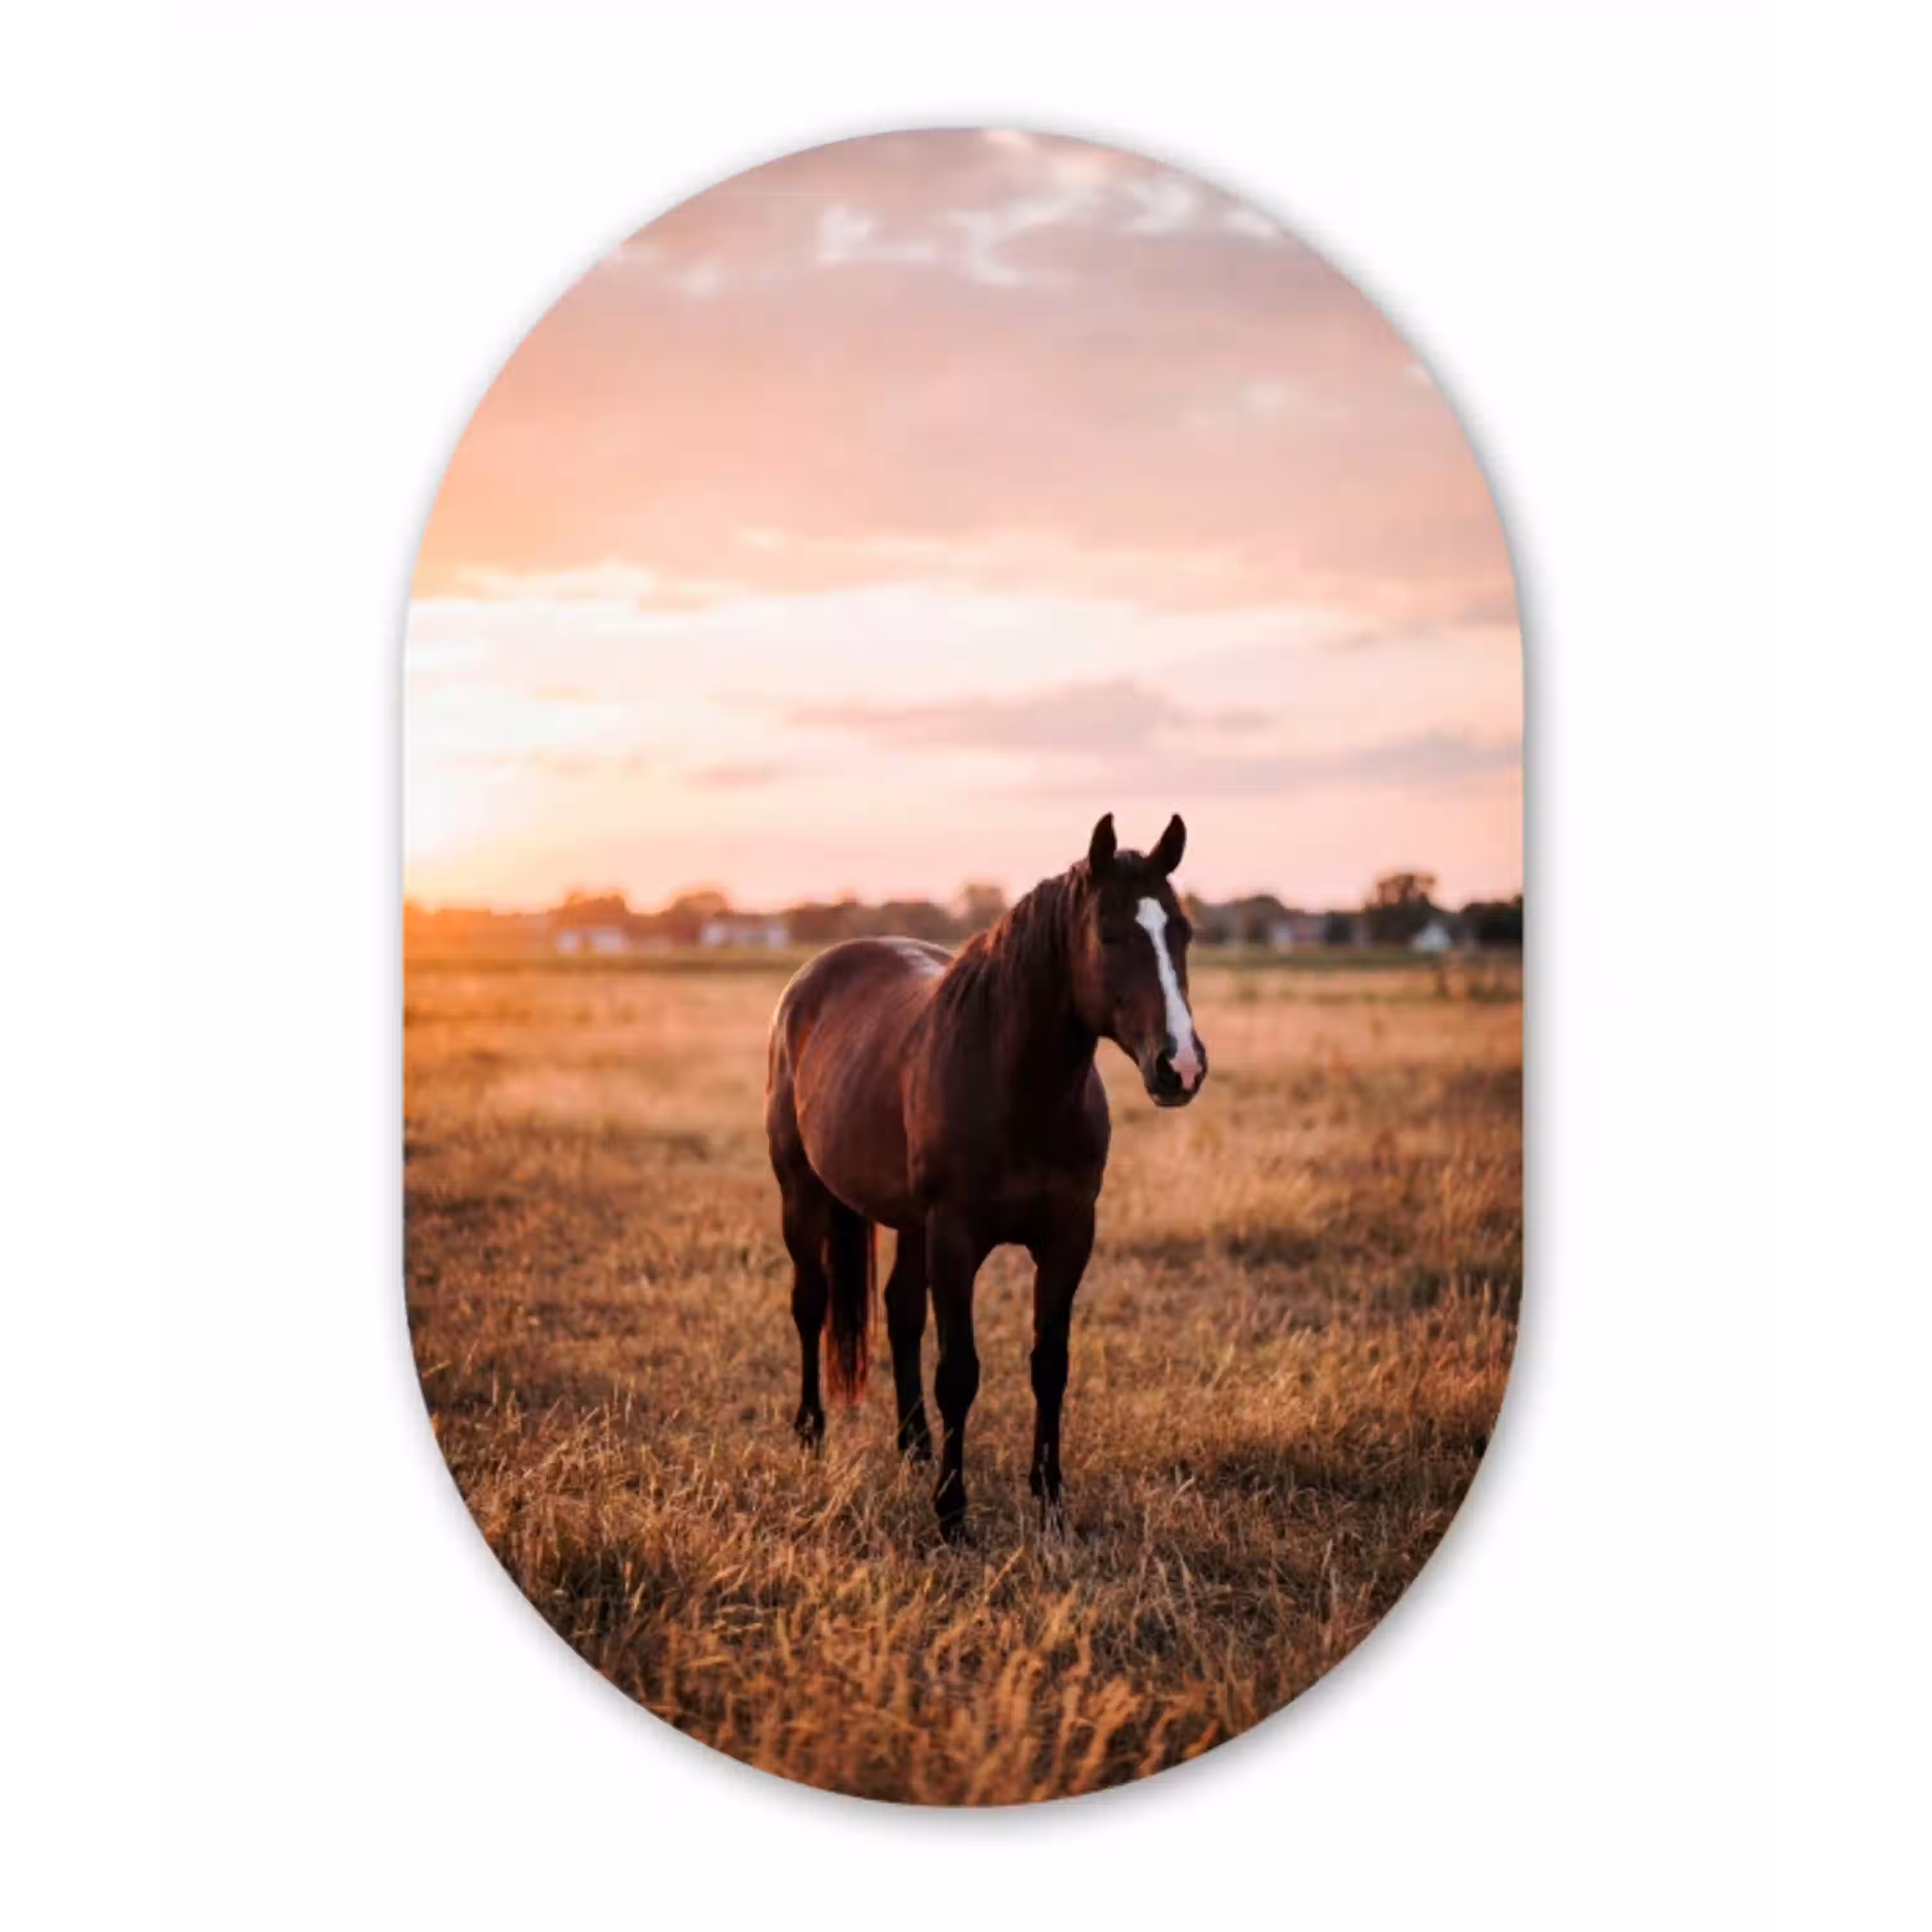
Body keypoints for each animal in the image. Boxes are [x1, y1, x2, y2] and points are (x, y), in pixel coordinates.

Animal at [764, 812, 1208, 1541]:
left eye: (1182, 932)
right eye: (1108, 933)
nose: (1182, 1067)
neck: (1018, 1089)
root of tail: (810, 980)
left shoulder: (1068, 1238)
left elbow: (1050, 1365)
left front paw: (1050, 1503)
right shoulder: (957, 1238)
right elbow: (960, 1373)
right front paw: (952, 1515)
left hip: (909, 1224)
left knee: (900, 1311)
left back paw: (914, 1445)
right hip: (803, 1196)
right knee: (812, 1303)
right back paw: (811, 1433)